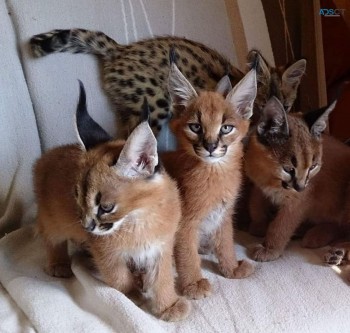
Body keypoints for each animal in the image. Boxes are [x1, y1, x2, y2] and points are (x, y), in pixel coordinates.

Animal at [34, 81, 190, 320]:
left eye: (106, 207)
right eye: (77, 198)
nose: (86, 227)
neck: (141, 218)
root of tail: (47, 155)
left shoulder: (160, 247)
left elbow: (162, 278)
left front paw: (168, 305)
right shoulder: (107, 253)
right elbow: (119, 278)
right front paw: (133, 296)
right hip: (52, 218)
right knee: (49, 234)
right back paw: (58, 263)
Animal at [161, 63, 258, 298]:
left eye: (226, 128)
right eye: (195, 127)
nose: (211, 146)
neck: (216, 172)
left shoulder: (224, 215)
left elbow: (226, 243)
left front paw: (231, 268)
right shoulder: (185, 223)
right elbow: (187, 253)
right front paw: (193, 283)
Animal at [245, 96, 350, 262]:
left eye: (313, 166)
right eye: (288, 169)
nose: (300, 187)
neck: (270, 176)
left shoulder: (298, 201)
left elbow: (282, 225)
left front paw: (270, 249)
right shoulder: (258, 186)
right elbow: (254, 203)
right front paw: (259, 224)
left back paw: (337, 250)